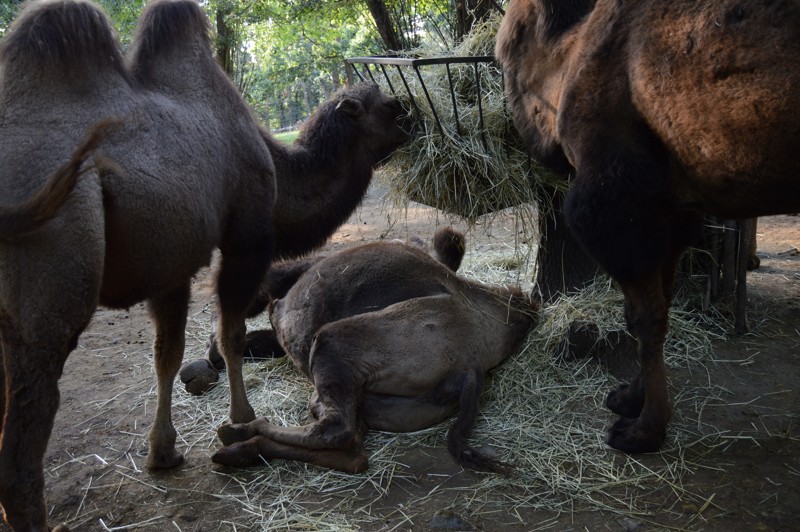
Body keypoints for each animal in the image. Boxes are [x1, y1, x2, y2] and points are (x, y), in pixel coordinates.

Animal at [0, 1, 278, 528]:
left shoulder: (170, 267)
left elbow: (166, 354)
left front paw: (162, 453)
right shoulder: (244, 237)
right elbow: (228, 334)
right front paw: (243, 419)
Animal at [209, 229, 536, 474]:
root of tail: (473, 371)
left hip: (332, 342)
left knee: (336, 430)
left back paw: (241, 430)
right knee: (353, 449)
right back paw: (238, 448)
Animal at [494, 0, 800, 454]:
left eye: (512, 48)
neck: (575, 50)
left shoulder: (619, 210)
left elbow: (643, 316)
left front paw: (644, 429)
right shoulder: (668, 212)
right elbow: (657, 307)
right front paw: (628, 398)